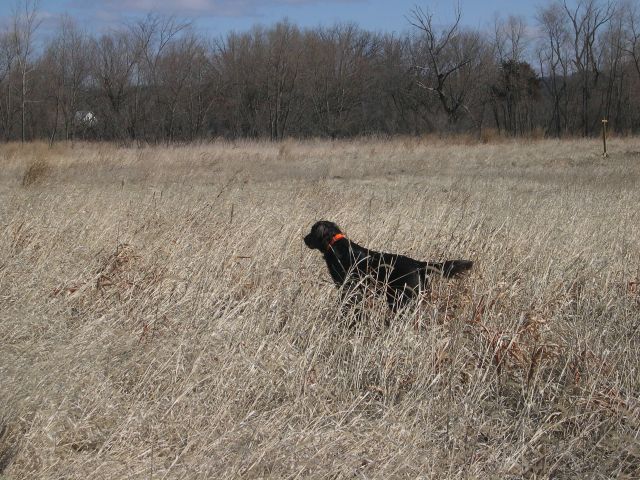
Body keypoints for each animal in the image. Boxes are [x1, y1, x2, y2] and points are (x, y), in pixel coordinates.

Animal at [302, 220, 472, 312]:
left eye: (312, 231)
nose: (304, 239)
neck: (335, 245)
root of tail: (419, 264)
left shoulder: (348, 287)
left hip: (401, 298)